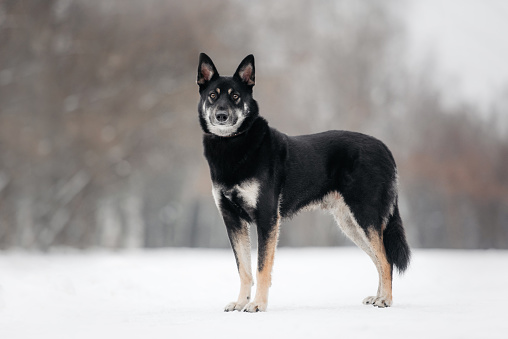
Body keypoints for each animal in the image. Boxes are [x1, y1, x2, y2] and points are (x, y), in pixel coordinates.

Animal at [196, 53, 410, 314]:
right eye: (212, 95)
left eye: (235, 96)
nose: (221, 116)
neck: (234, 144)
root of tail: (384, 148)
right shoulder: (233, 221)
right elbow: (244, 269)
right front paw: (240, 302)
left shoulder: (267, 218)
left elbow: (261, 267)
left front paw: (257, 304)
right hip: (351, 223)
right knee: (379, 260)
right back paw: (377, 297)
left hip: (365, 216)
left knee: (386, 260)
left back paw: (386, 299)